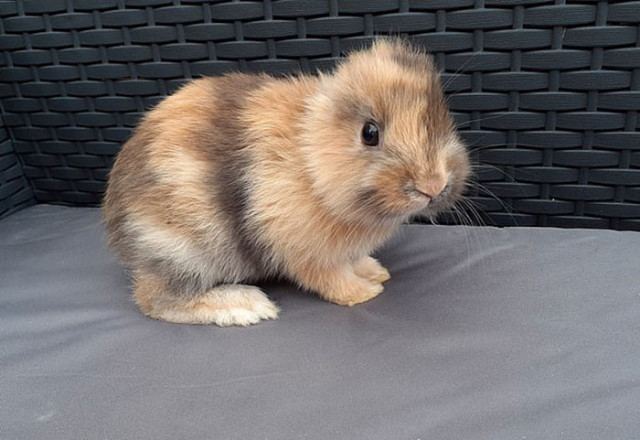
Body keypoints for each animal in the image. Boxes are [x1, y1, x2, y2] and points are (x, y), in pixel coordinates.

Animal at [101, 38, 470, 326]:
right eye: (369, 133)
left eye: (442, 120)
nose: (433, 185)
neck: (310, 161)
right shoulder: (305, 250)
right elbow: (330, 277)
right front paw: (364, 293)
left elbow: (355, 260)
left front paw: (375, 271)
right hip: (182, 251)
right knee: (157, 300)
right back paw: (247, 306)